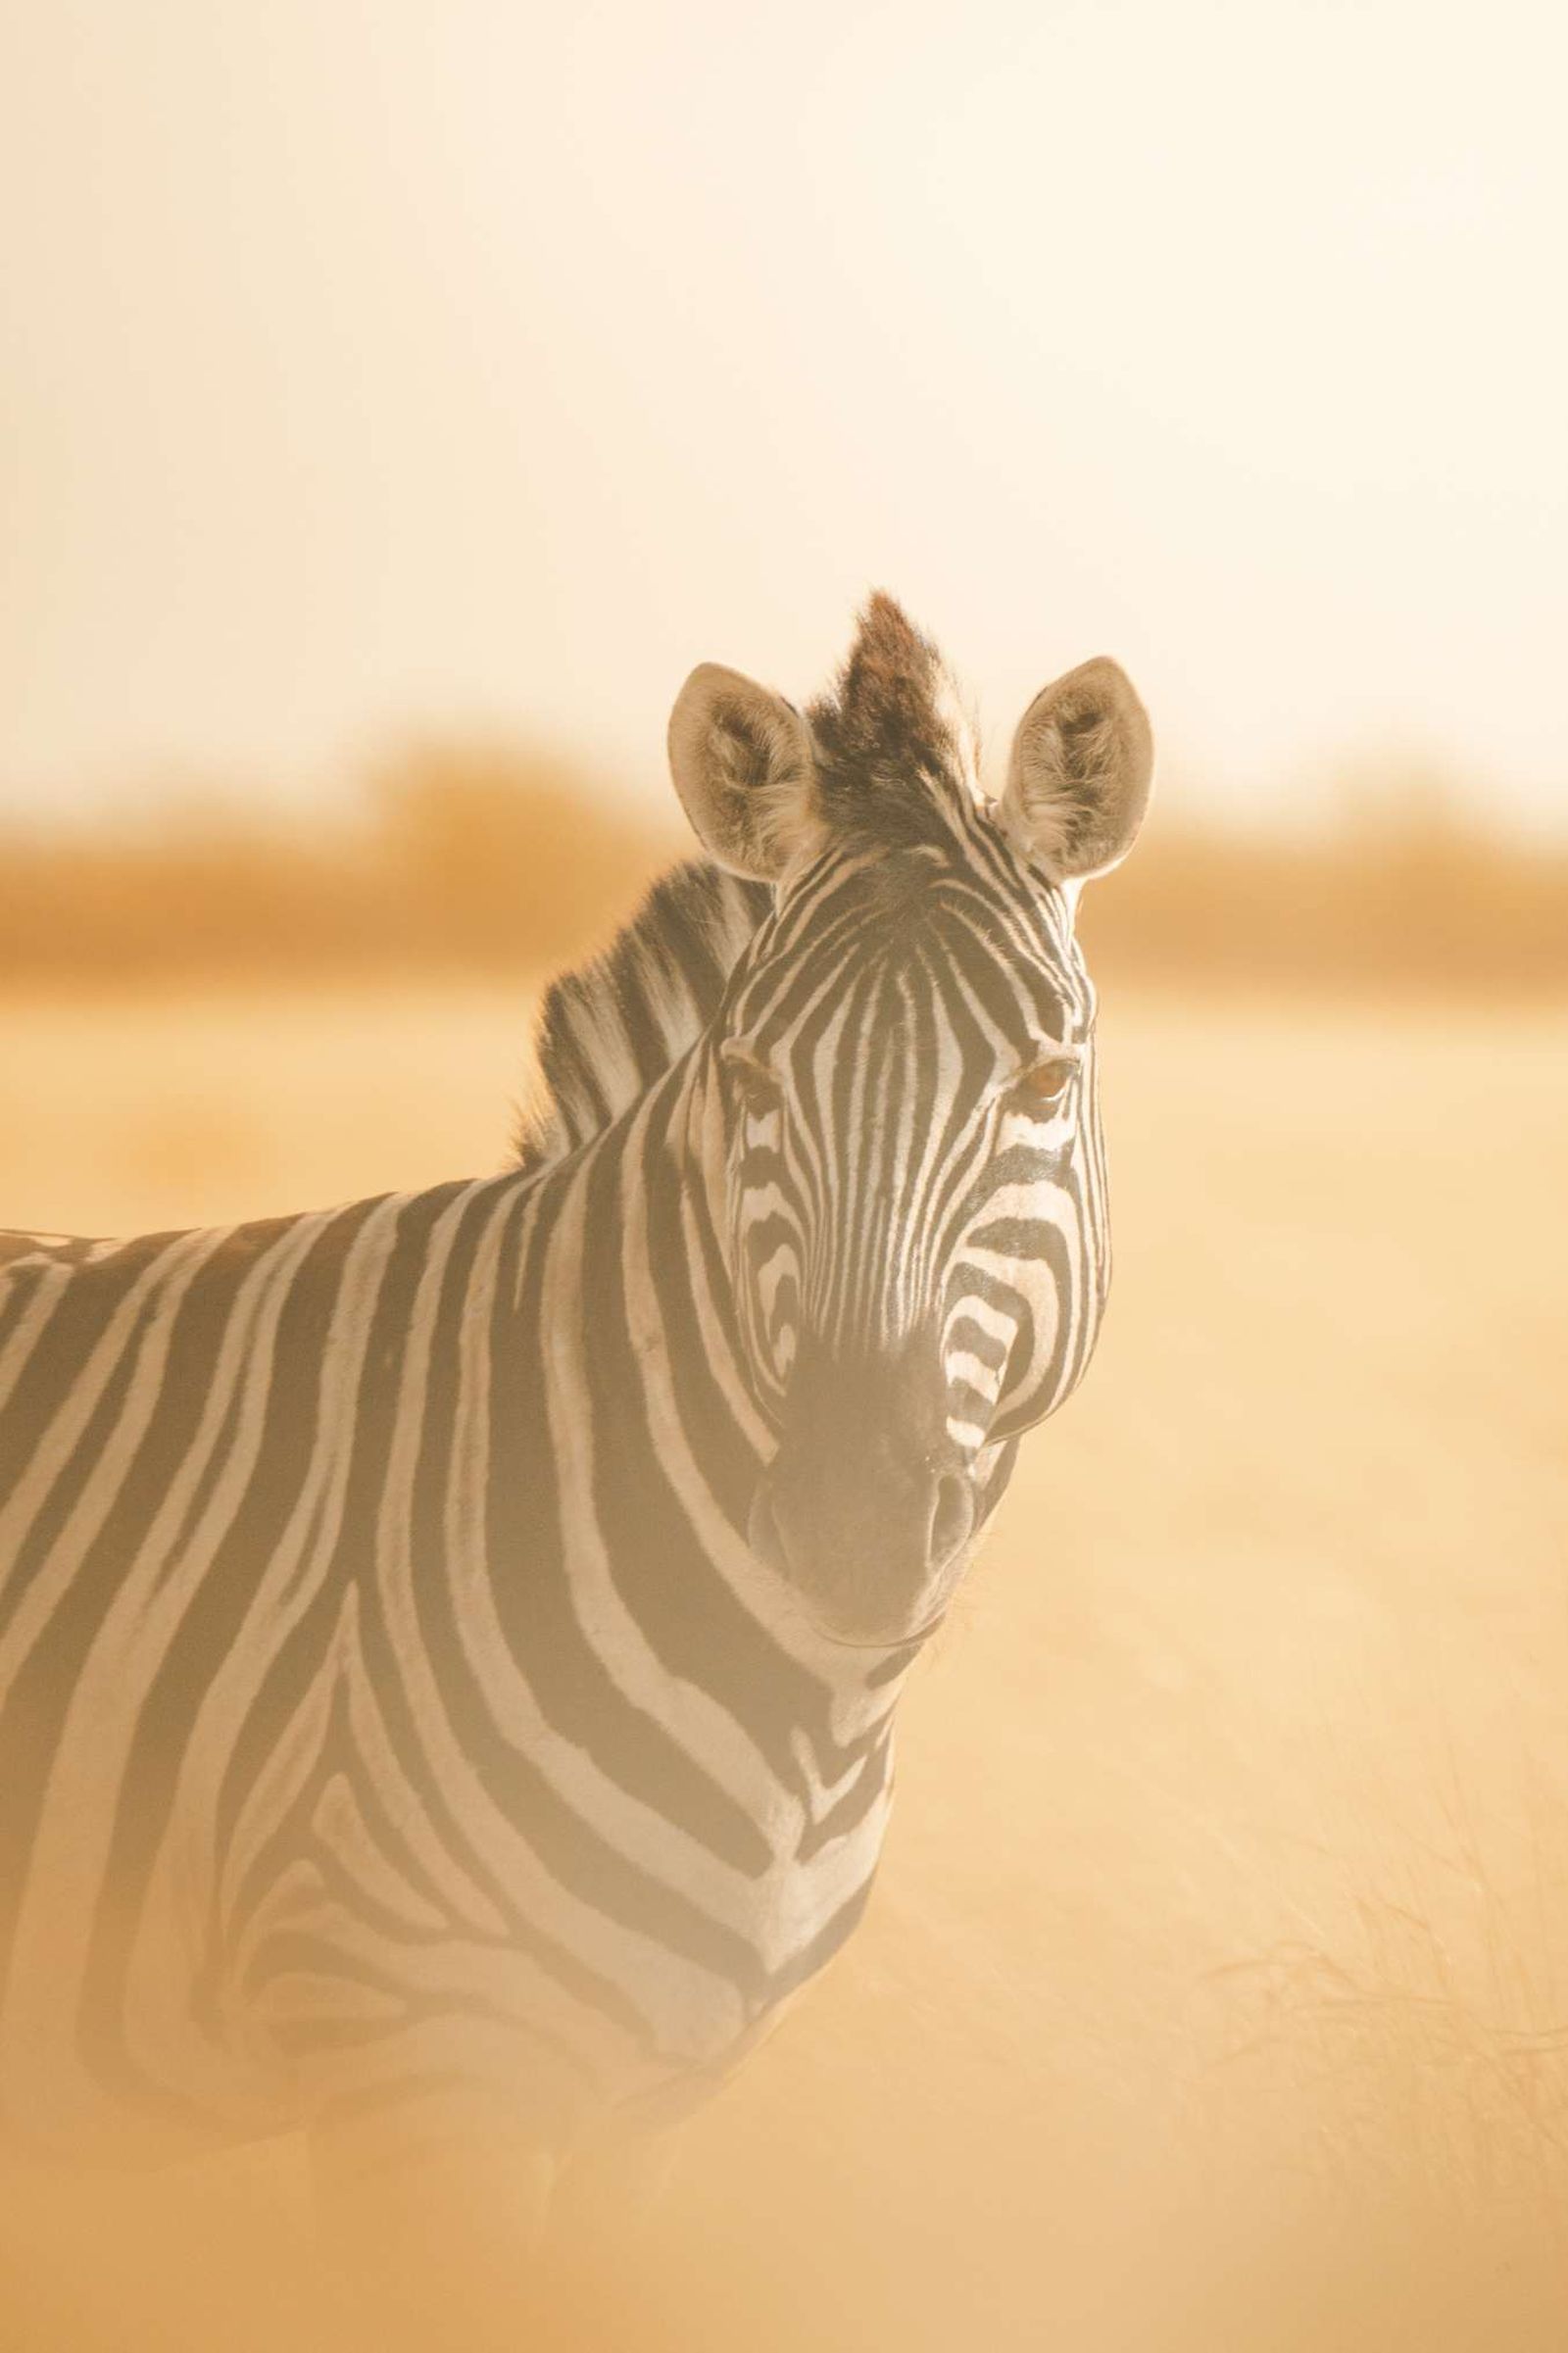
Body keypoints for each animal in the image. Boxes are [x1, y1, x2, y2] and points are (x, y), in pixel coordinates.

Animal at [0, 595, 1150, 2293]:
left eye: (1047, 1080)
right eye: (748, 1080)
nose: (854, 1528)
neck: (802, 1718)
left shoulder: (649, 2112)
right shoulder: (420, 2075)